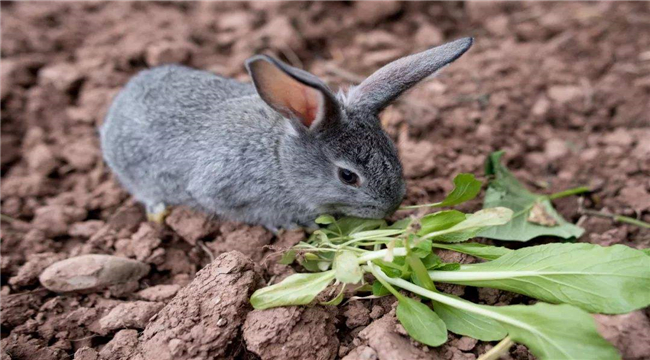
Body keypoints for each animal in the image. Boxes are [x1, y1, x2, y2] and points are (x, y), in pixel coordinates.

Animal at [100, 35, 470, 228]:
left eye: (394, 150)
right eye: (348, 177)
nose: (391, 208)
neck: (280, 161)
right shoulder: (218, 188)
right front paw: (287, 224)